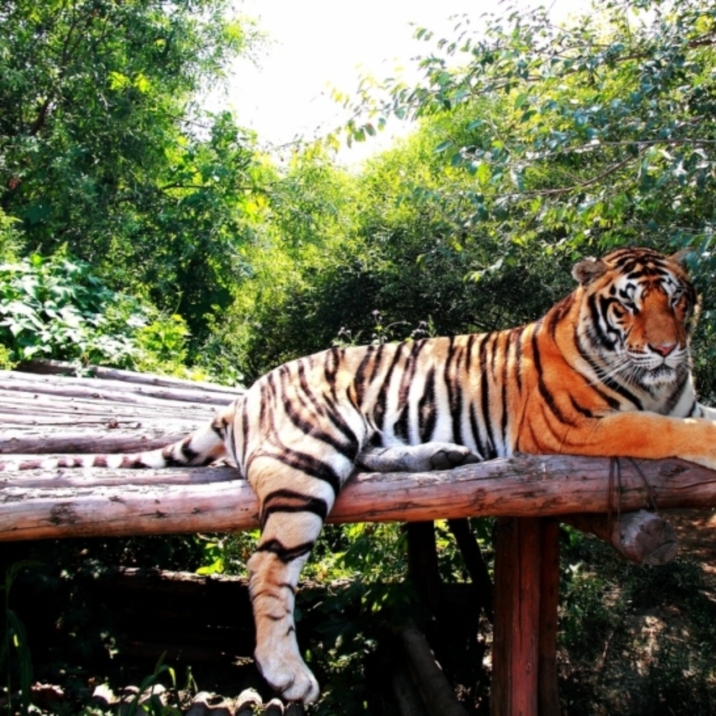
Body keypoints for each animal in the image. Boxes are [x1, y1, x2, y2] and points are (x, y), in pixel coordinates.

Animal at [6, 246, 716, 703]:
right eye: (627, 307)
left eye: (677, 300)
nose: (666, 348)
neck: (659, 382)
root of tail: (247, 395)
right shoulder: (572, 425)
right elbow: (660, 430)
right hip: (314, 454)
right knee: (265, 566)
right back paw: (288, 675)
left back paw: (442, 456)